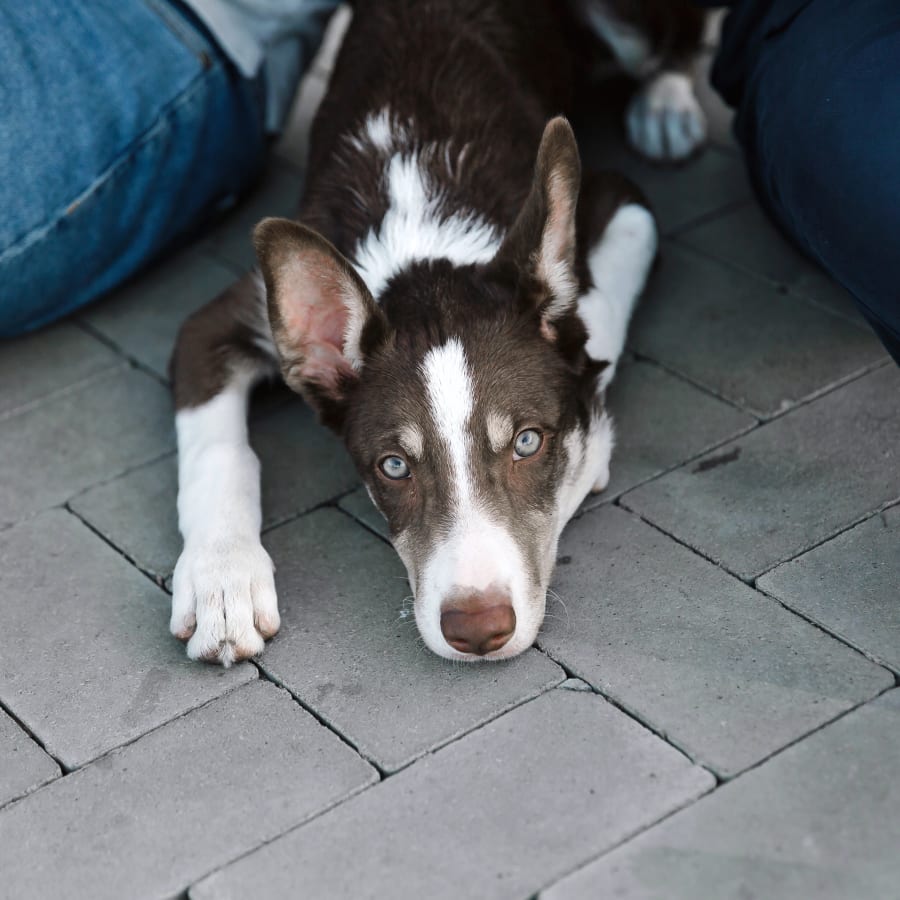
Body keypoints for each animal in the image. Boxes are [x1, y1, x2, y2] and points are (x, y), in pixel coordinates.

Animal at [167, 0, 704, 660]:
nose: (478, 630)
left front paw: (590, 442)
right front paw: (222, 581)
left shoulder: (625, 204)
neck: (422, 221)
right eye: (393, 467)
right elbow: (217, 452)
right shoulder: (217, 323)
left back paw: (667, 105)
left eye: (528, 442)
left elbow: (591, 322)